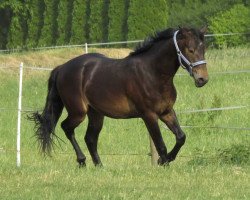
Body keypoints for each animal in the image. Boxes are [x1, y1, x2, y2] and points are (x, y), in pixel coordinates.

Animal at [29, 27, 209, 167]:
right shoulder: (149, 115)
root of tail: (62, 68)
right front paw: (163, 163)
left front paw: (166, 160)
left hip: (96, 114)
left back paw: (99, 166)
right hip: (78, 112)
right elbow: (160, 144)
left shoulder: (166, 112)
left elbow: (181, 137)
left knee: (90, 138)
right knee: (67, 128)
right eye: (190, 50)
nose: (202, 79)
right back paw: (82, 161)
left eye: (203, 49)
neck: (153, 73)